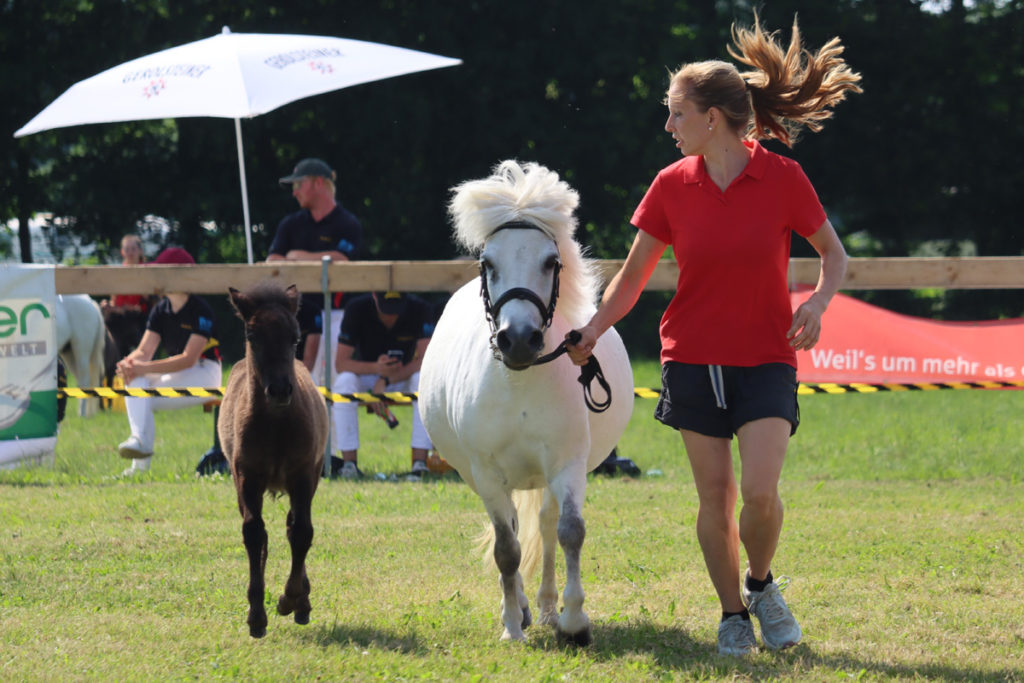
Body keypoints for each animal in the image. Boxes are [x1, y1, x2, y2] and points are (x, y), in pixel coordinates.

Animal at [415, 160, 630, 647]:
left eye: (551, 262)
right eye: (487, 263)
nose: (517, 340)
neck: (519, 383)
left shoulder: (567, 464)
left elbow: (570, 532)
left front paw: (574, 621)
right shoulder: (487, 474)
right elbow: (506, 548)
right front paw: (512, 626)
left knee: (547, 527)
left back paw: (549, 608)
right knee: (513, 529)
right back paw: (521, 609)